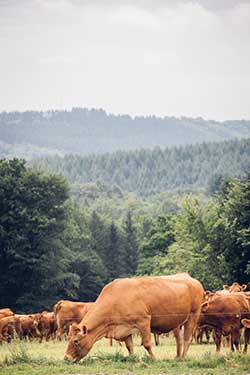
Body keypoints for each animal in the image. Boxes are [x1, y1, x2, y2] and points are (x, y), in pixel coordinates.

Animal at [64, 274, 203, 362]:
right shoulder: (124, 328)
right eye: (68, 338)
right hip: (177, 322)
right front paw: (131, 358)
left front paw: (154, 359)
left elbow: (147, 344)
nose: (66, 358)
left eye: (76, 341)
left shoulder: (144, 321)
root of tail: (190, 278)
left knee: (187, 338)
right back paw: (178, 357)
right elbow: (129, 346)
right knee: (179, 339)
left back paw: (183, 357)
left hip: (193, 315)